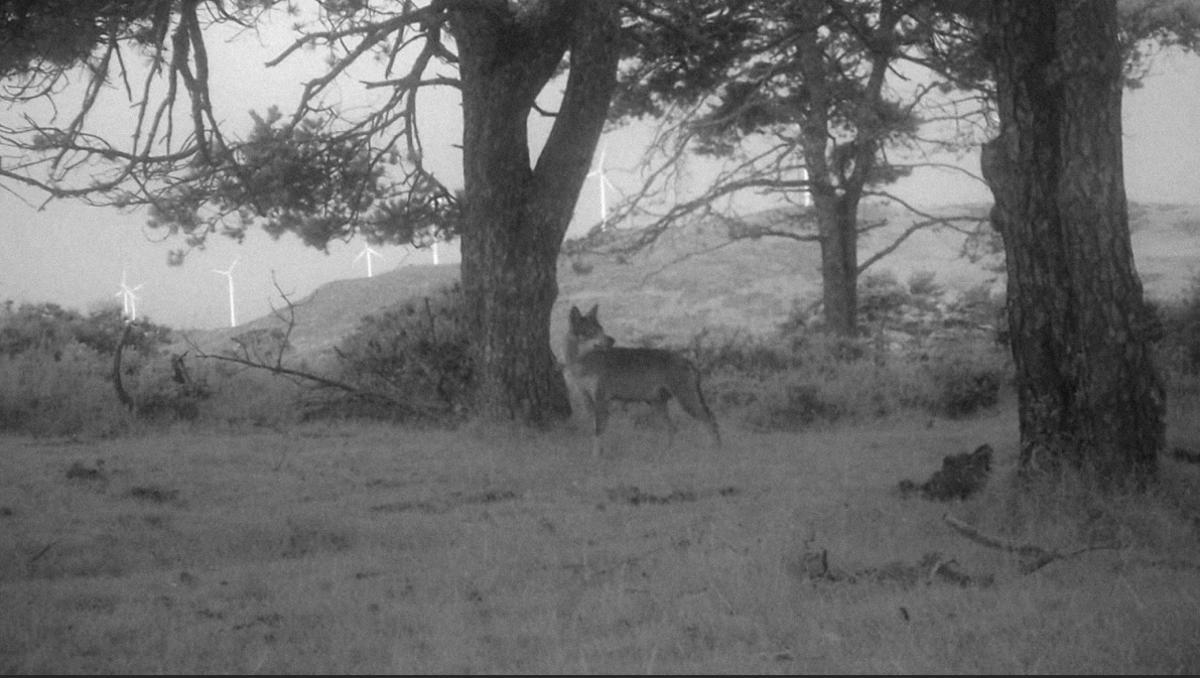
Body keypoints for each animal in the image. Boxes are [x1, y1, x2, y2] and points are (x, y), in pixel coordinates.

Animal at [564, 304, 720, 453]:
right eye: (592, 331)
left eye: (601, 329)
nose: (612, 340)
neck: (583, 363)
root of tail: (686, 359)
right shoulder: (588, 401)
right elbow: (596, 432)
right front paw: (599, 454)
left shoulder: (601, 400)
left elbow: (598, 432)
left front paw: (596, 457)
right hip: (658, 405)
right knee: (673, 428)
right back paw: (665, 454)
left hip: (685, 402)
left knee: (710, 420)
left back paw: (714, 450)